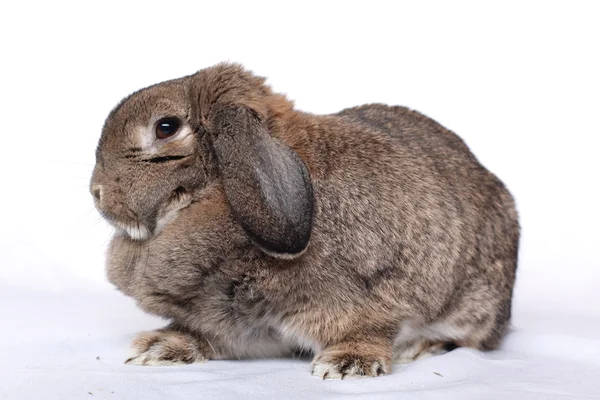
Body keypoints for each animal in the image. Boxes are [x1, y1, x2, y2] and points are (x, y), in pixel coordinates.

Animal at [91, 61, 516, 378]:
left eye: (166, 127)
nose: (96, 192)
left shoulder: (374, 298)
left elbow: (376, 327)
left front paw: (348, 364)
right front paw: (161, 346)